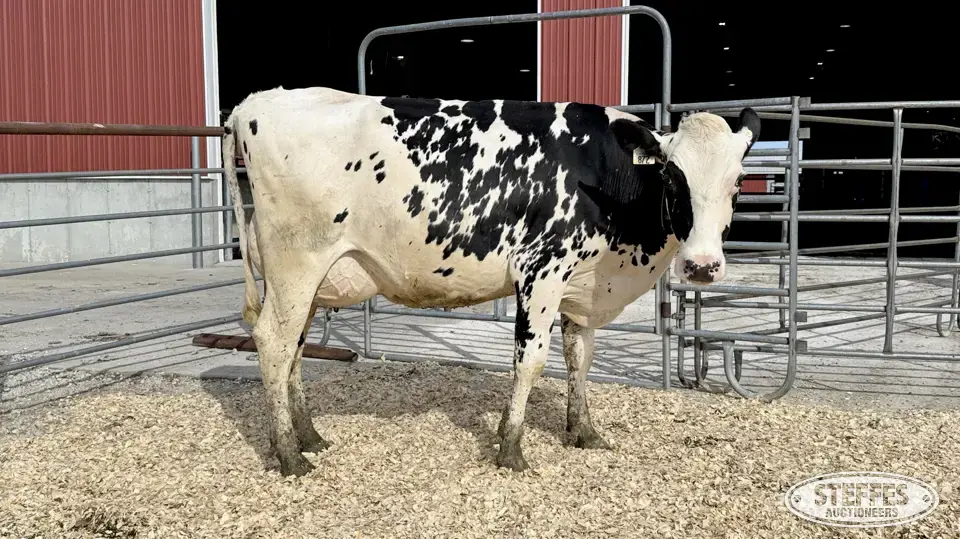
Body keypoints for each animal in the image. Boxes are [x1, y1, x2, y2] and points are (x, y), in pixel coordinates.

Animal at [221, 86, 760, 477]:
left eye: (737, 181)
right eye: (672, 178)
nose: (702, 267)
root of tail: (254, 103)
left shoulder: (582, 287)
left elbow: (580, 358)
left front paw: (583, 432)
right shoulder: (542, 270)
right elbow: (531, 361)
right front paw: (511, 450)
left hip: (308, 280)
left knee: (293, 349)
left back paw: (308, 435)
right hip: (296, 264)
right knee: (273, 343)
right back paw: (290, 456)